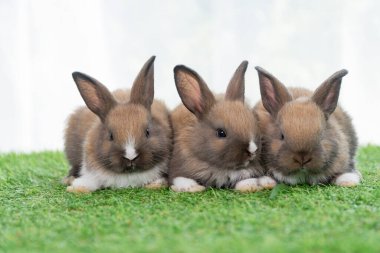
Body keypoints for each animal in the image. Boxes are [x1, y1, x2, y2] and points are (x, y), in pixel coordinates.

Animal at [62, 56, 172, 193]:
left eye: (147, 132)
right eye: (110, 136)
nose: (130, 157)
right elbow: (90, 181)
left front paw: (155, 185)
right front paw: (77, 188)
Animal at [169, 61, 276, 192]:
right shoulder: (178, 167)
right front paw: (194, 187)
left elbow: (247, 178)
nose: (252, 150)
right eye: (221, 133)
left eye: (255, 123)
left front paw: (249, 186)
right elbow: (181, 179)